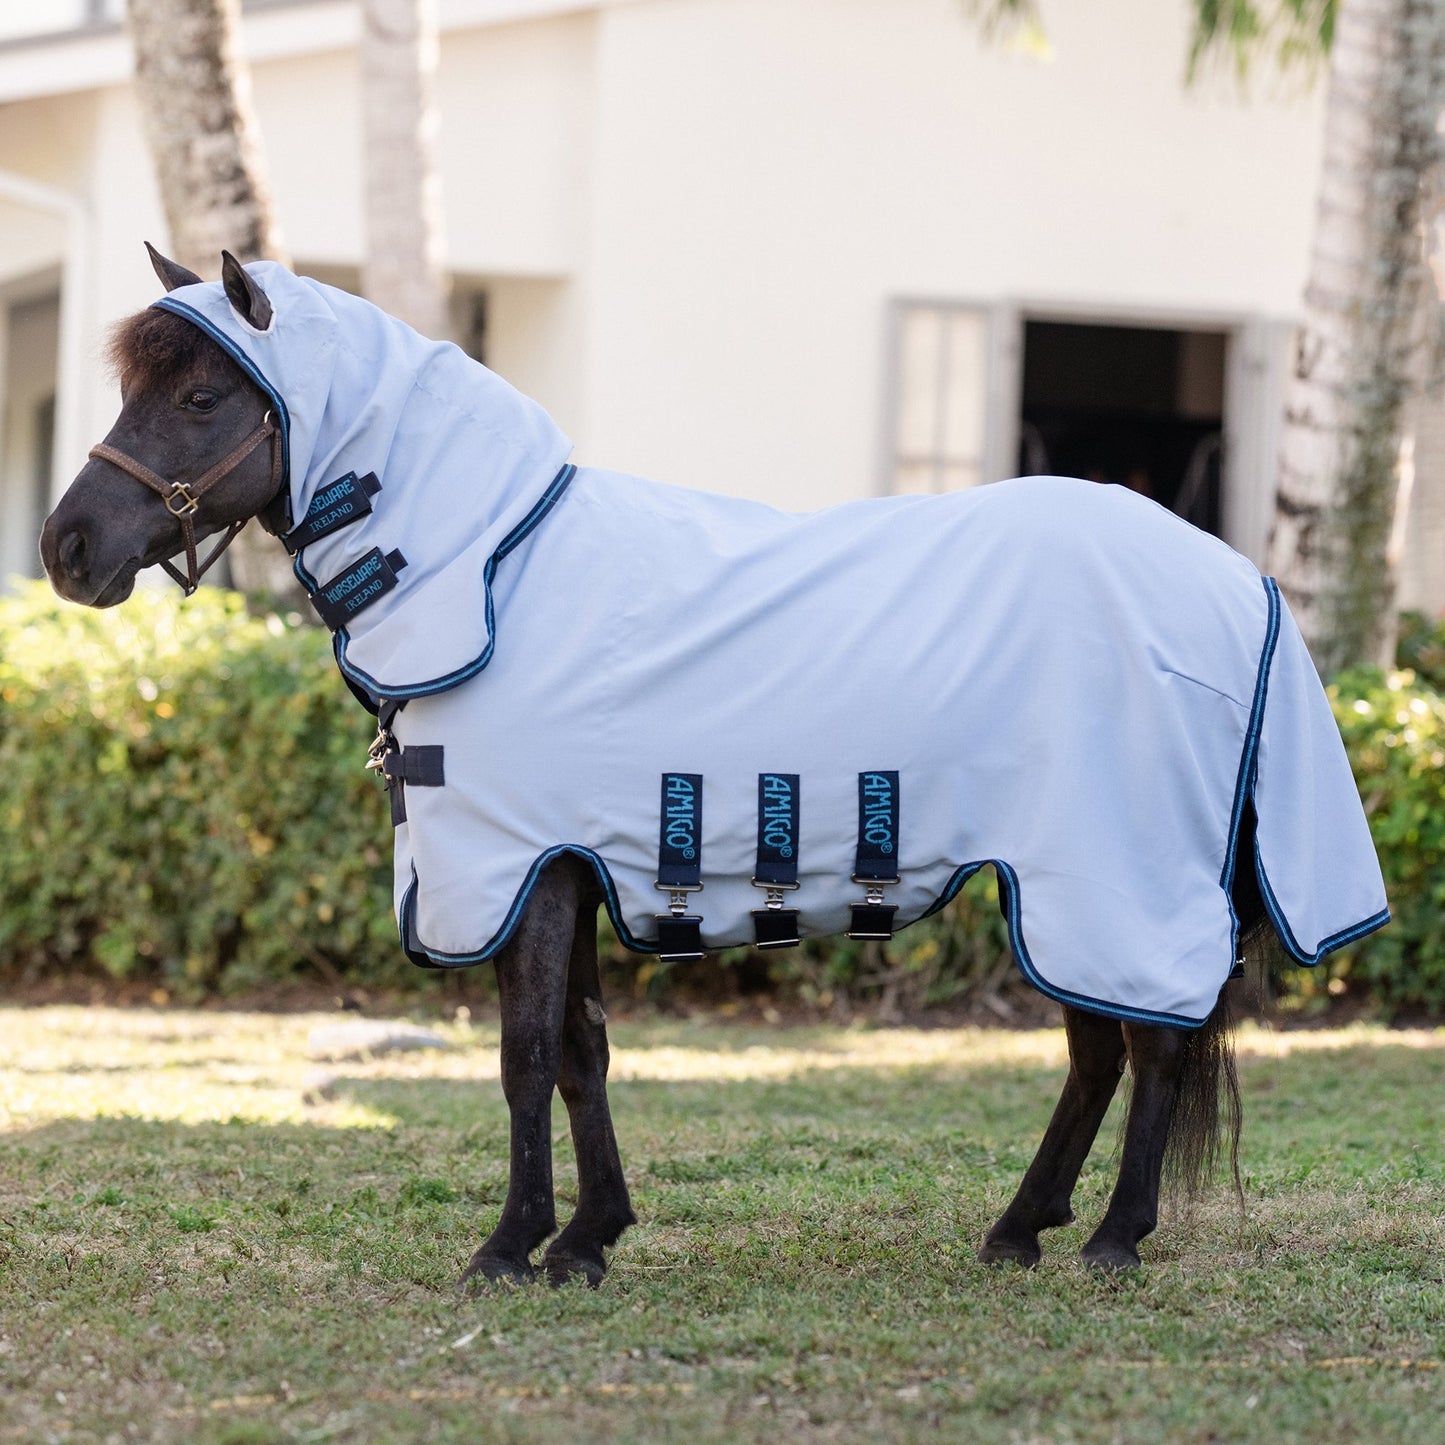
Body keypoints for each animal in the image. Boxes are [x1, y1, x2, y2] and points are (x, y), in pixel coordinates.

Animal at [40, 248, 1389, 1287]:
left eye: (202, 395)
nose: (67, 547)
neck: (500, 574)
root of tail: (1235, 576)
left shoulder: (521, 869)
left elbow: (525, 1055)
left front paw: (510, 1246)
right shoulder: (571, 863)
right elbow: (579, 1050)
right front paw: (587, 1238)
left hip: (1109, 875)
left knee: (1149, 1042)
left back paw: (1112, 1237)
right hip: (1055, 879)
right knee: (1099, 1052)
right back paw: (1019, 1229)